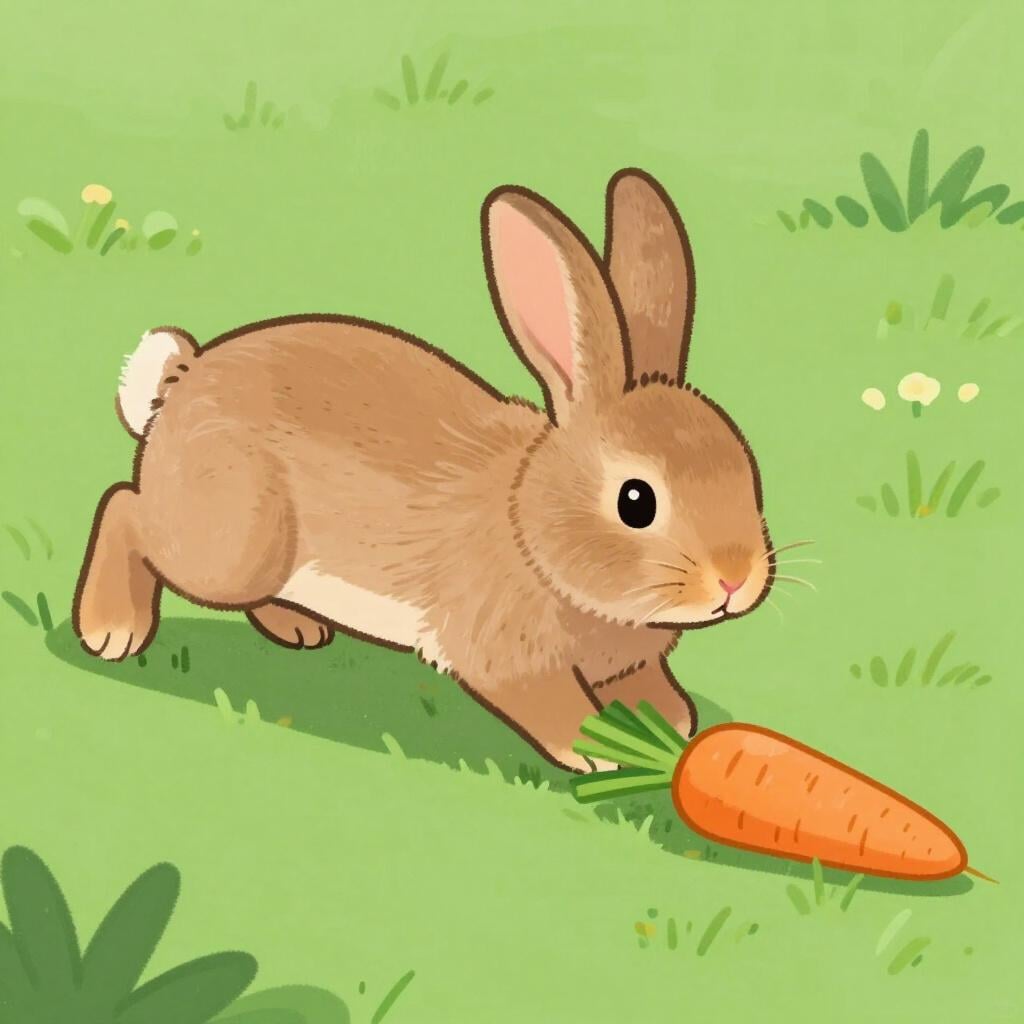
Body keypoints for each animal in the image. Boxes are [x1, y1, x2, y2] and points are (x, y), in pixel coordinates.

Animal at [73, 168, 773, 772]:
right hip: (231, 543)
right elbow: (550, 707)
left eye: (748, 471)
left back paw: (297, 627)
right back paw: (110, 631)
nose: (736, 581)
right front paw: (598, 749)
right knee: (125, 509)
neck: (532, 532)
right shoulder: (509, 658)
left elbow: (647, 685)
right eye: (636, 501)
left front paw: (672, 722)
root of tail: (183, 383)